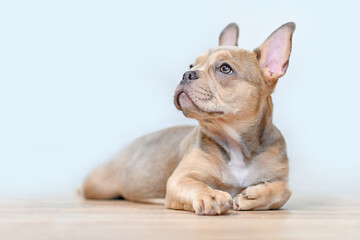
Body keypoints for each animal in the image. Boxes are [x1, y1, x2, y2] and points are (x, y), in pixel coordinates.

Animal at [83, 21, 296, 215]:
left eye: (225, 68)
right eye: (191, 65)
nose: (187, 74)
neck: (236, 146)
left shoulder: (279, 176)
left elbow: (284, 190)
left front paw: (256, 195)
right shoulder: (181, 178)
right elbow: (197, 185)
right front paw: (211, 195)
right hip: (98, 186)